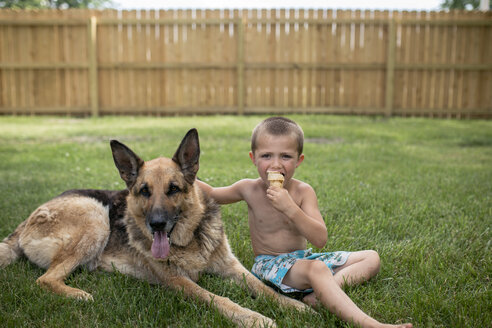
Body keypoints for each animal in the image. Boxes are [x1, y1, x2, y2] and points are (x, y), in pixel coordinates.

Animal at [0, 129, 308, 326]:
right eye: (144, 191)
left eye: (173, 189)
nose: (157, 223)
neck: (189, 241)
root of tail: (23, 224)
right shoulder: (178, 281)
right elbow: (216, 298)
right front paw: (251, 317)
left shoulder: (231, 267)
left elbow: (263, 287)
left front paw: (294, 306)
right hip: (95, 216)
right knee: (45, 280)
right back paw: (77, 294)